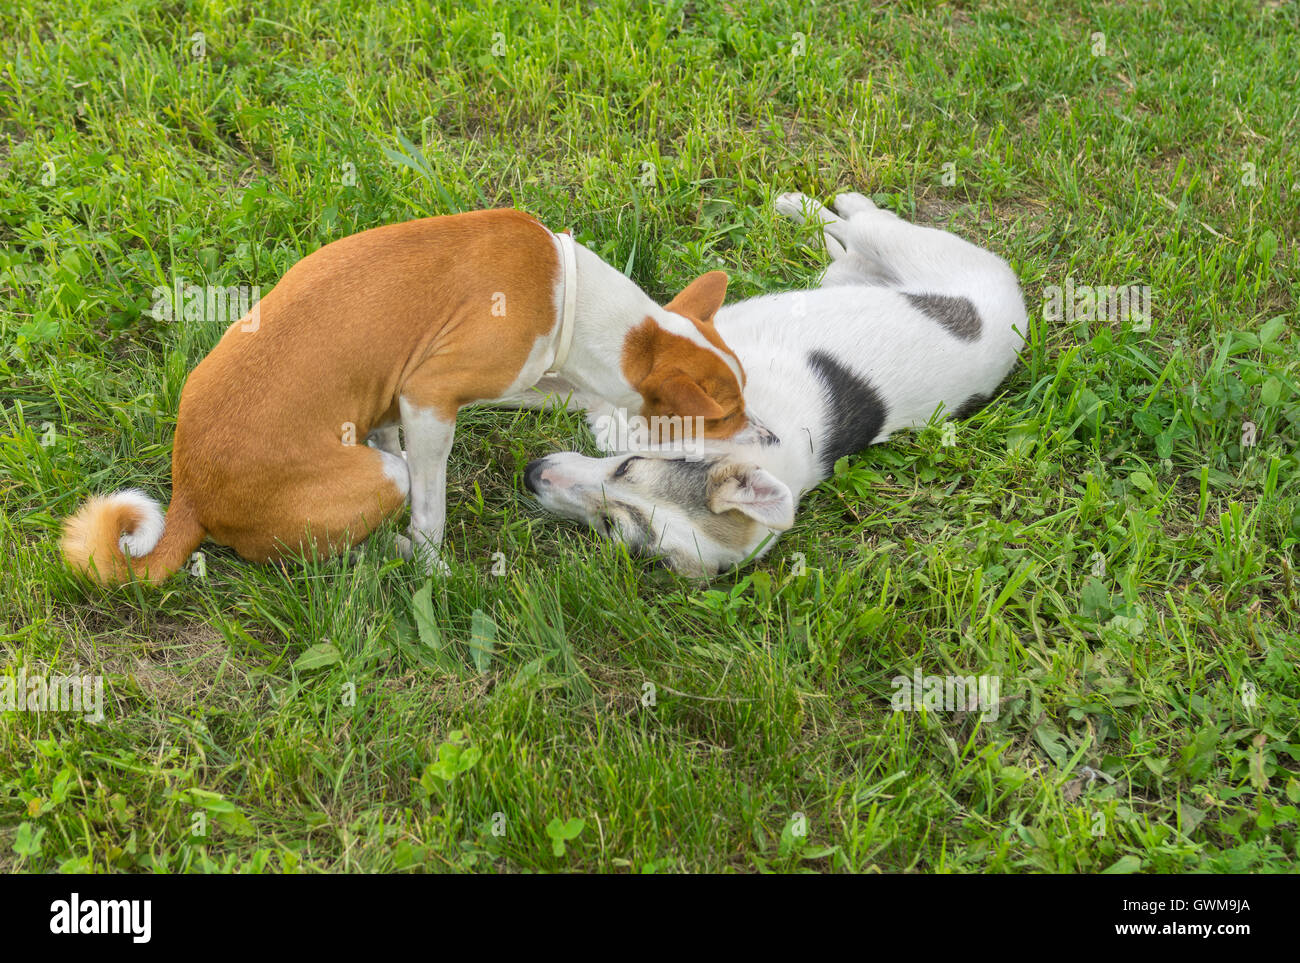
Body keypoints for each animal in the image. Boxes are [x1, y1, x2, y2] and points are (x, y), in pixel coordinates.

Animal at [61, 207, 754, 582]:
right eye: (722, 418)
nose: (767, 437)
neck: (571, 299)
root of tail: (190, 493)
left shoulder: (419, 398)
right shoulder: (429, 396)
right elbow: (431, 513)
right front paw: (432, 569)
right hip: (375, 482)